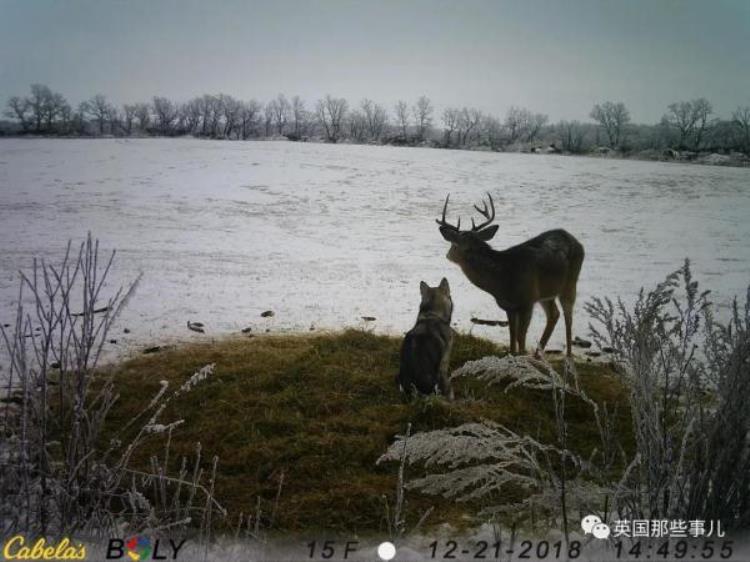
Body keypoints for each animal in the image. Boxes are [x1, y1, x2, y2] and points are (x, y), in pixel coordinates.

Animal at [434, 192, 588, 354]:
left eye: (453, 245)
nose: (448, 255)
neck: (504, 279)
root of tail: (573, 238)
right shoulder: (510, 307)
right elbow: (512, 335)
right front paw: (513, 354)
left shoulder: (527, 301)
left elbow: (521, 337)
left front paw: (522, 355)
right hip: (547, 292)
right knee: (554, 314)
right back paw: (537, 355)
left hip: (570, 282)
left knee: (568, 318)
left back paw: (568, 356)